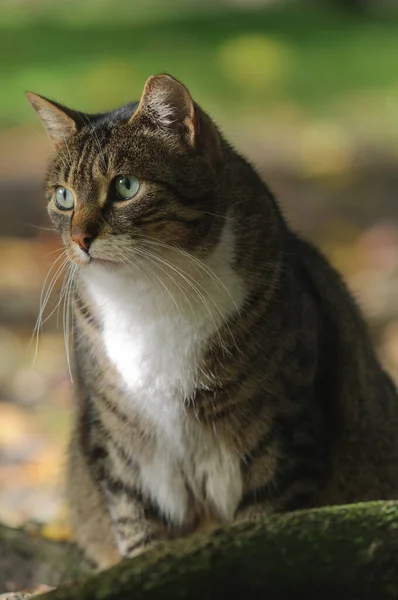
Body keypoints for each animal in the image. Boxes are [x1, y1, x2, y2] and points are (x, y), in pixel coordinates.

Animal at [26, 72, 398, 568]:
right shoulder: (121, 446)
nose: (81, 239)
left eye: (126, 186)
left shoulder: (280, 433)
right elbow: (137, 526)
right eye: (64, 197)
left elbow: (261, 530)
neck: (147, 297)